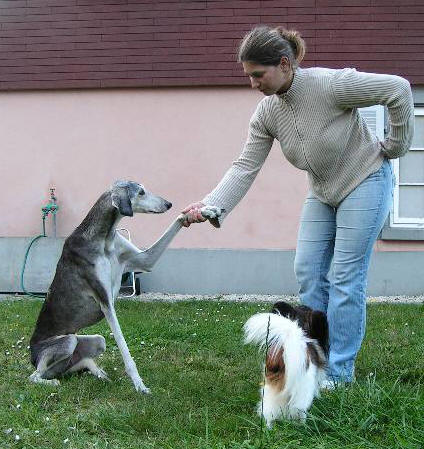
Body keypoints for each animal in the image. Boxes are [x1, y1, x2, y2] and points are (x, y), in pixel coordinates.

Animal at [29, 180, 222, 394]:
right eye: (141, 192)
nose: (169, 204)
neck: (103, 238)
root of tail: (31, 355)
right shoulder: (106, 303)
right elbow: (125, 349)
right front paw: (139, 385)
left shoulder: (144, 260)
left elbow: (178, 221)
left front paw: (205, 211)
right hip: (67, 342)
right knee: (36, 376)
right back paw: (51, 381)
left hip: (96, 341)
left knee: (73, 364)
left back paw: (97, 372)